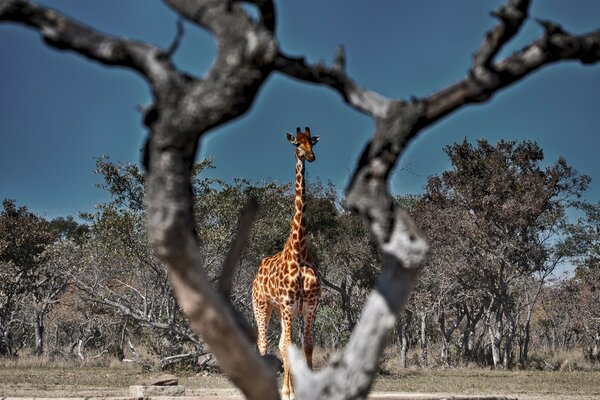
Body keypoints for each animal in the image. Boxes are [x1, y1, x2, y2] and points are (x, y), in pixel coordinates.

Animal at [251, 126, 322, 398]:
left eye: (312, 142)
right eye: (296, 144)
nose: (310, 157)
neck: (299, 253)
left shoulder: (310, 307)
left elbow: (308, 346)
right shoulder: (288, 305)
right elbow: (289, 346)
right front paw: (288, 391)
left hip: (280, 310)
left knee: (280, 344)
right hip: (262, 306)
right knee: (263, 342)